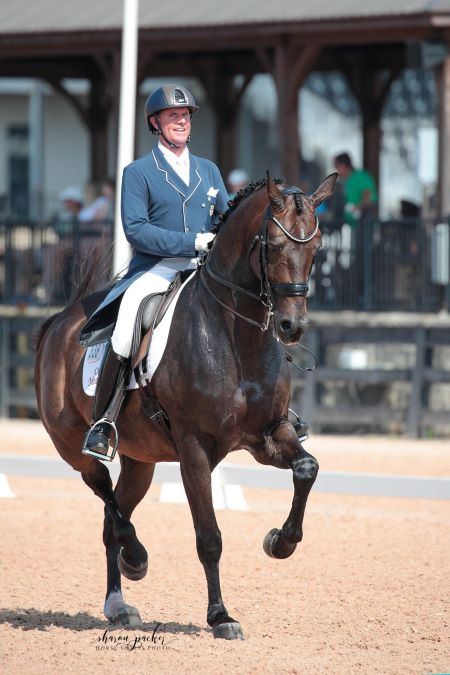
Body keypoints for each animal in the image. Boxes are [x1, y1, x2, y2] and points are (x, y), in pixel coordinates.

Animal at [34, 172, 338, 640]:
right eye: (271, 244)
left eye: (317, 245)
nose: (292, 326)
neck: (236, 337)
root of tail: (60, 321)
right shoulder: (194, 448)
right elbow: (208, 536)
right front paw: (221, 617)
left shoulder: (268, 435)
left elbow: (307, 468)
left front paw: (280, 542)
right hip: (72, 446)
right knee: (104, 493)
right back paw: (135, 557)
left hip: (140, 459)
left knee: (112, 515)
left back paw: (118, 603)